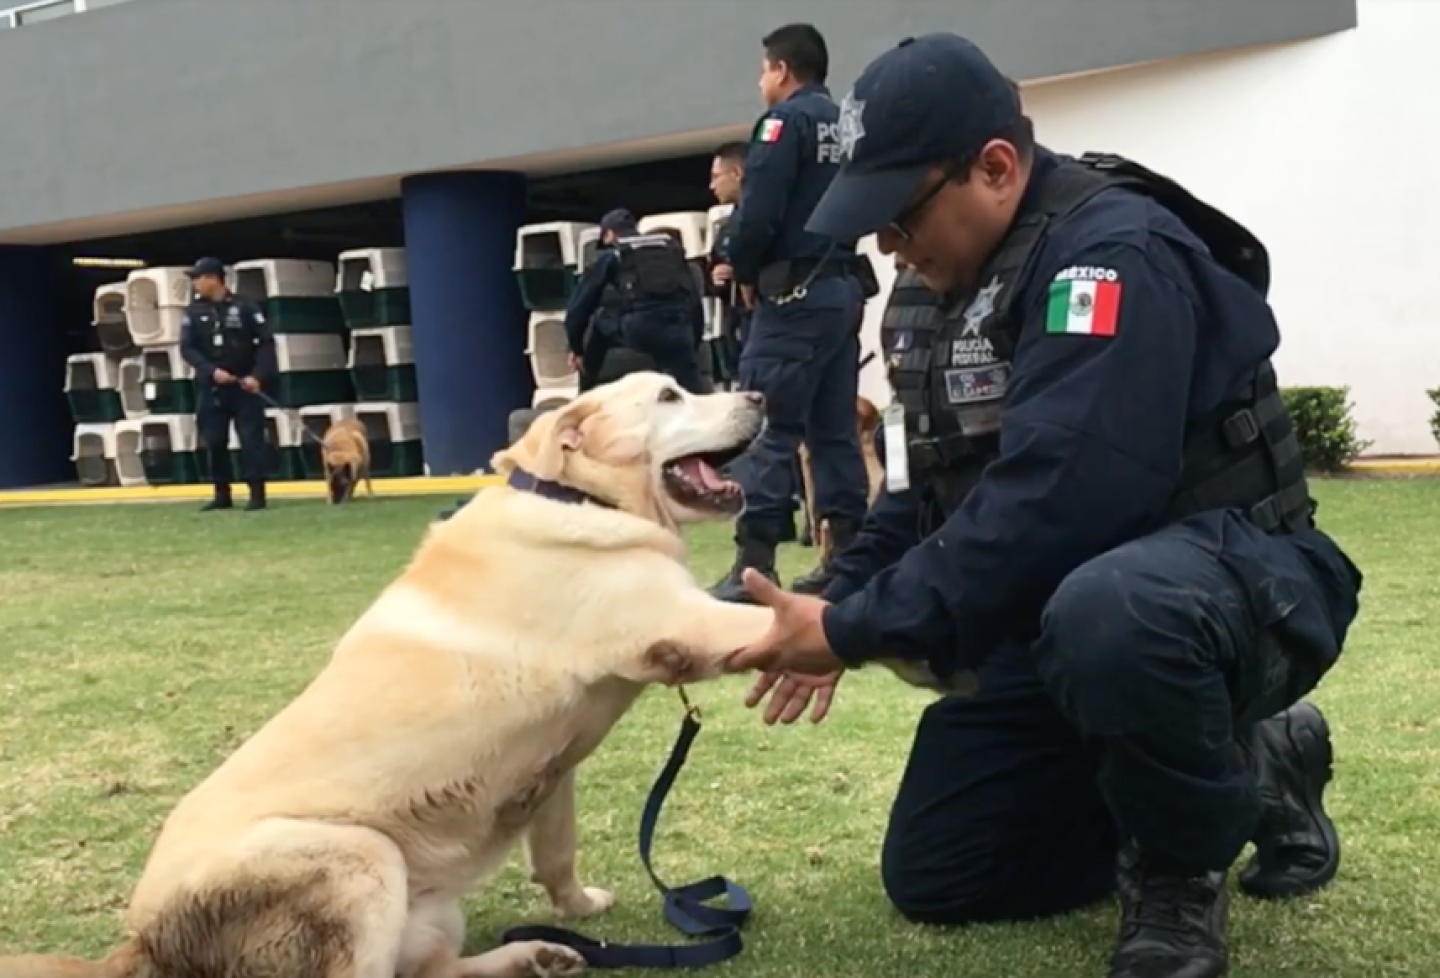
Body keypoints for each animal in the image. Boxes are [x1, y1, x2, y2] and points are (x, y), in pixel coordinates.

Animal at [2, 371, 777, 978]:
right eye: (671, 395)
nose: (760, 394)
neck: (574, 496)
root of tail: (139, 944)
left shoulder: (556, 769)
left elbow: (556, 853)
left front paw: (577, 908)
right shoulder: (683, 619)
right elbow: (779, 617)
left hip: (426, 908)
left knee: (432, 972)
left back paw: (535, 954)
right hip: (359, 858)